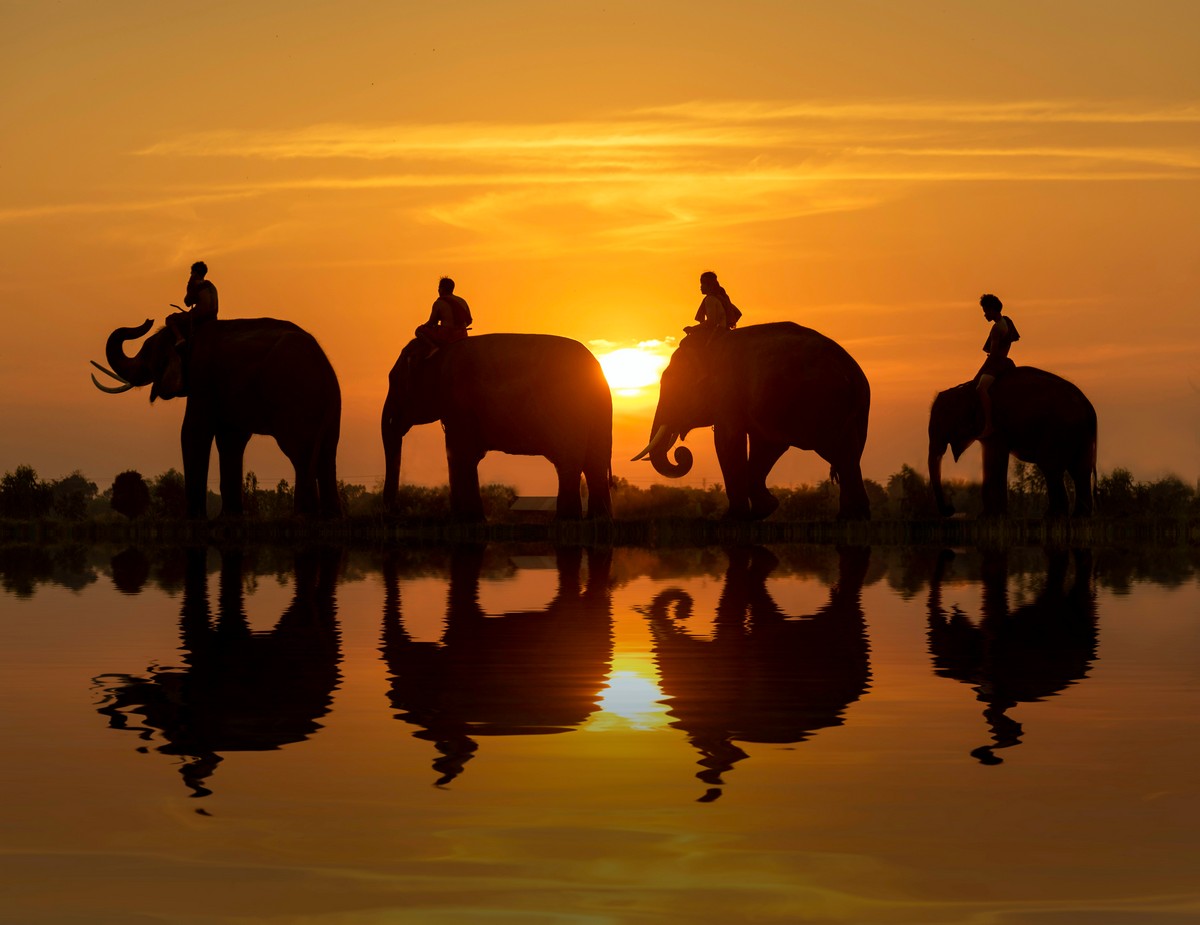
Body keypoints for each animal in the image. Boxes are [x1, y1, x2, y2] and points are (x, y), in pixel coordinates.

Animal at [90, 319, 338, 520]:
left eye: (148, 352)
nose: (148, 320)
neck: (187, 333)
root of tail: (323, 366)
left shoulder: (202, 377)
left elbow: (192, 430)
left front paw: (192, 519)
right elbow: (230, 439)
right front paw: (228, 518)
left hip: (294, 398)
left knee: (299, 453)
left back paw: (303, 517)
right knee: (326, 453)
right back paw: (328, 517)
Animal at [381, 333, 614, 520]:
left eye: (392, 380)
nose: (395, 511)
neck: (438, 350)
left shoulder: (458, 403)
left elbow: (460, 455)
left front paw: (469, 520)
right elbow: (468, 456)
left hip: (568, 411)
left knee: (569, 465)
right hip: (599, 414)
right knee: (595, 465)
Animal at [638, 321, 873, 518]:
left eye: (671, 382)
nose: (681, 452)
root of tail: (852, 372)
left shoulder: (728, 394)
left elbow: (727, 441)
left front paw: (733, 518)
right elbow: (766, 446)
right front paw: (765, 509)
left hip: (826, 406)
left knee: (841, 455)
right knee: (849, 457)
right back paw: (850, 517)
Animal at [926, 364, 1099, 518]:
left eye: (940, 423)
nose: (951, 509)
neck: (968, 387)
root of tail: (1089, 407)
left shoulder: (996, 427)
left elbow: (996, 459)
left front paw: (995, 517)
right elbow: (989, 459)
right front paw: (987, 517)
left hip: (1060, 430)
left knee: (1050, 466)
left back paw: (1053, 517)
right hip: (1080, 433)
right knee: (1080, 469)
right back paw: (1078, 517)